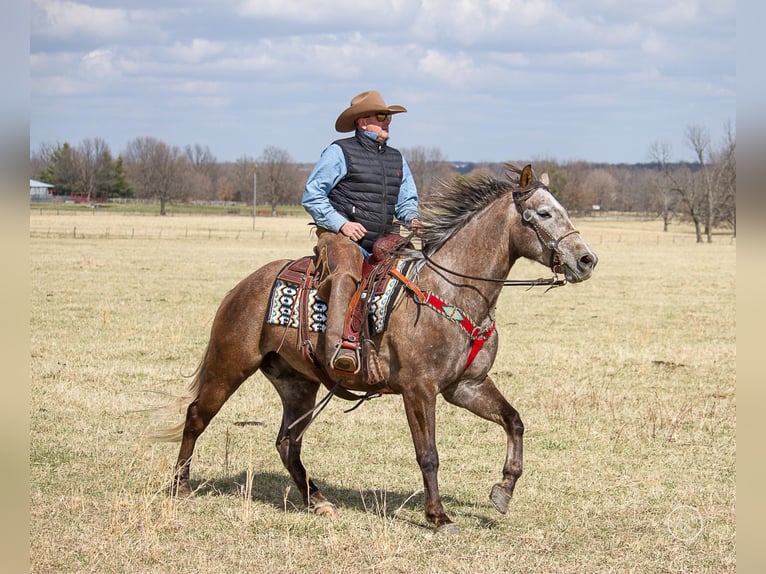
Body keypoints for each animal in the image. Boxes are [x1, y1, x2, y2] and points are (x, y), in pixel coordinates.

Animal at [146, 162, 600, 536]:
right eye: (543, 214)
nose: (586, 260)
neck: (452, 290)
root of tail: (244, 286)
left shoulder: (466, 386)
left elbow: (514, 421)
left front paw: (503, 490)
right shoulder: (419, 390)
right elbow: (428, 453)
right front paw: (439, 517)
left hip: (298, 384)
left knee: (287, 442)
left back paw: (318, 501)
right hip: (229, 365)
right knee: (196, 416)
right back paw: (181, 486)